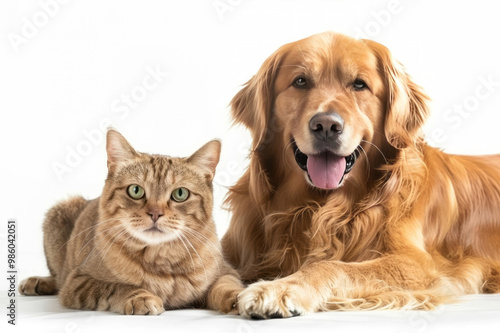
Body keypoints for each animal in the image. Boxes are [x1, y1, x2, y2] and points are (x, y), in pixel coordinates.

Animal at [19, 130, 244, 314]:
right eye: (135, 190)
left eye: (180, 194)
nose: (155, 213)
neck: (160, 260)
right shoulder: (77, 282)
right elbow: (116, 286)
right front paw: (141, 297)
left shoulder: (226, 271)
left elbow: (226, 285)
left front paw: (239, 298)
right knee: (58, 277)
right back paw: (37, 282)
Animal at [222, 31, 500, 320]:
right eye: (300, 81)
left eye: (359, 84)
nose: (326, 125)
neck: (319, 207)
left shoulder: (417, 263)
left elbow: (332, 265)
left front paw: (280, 287)